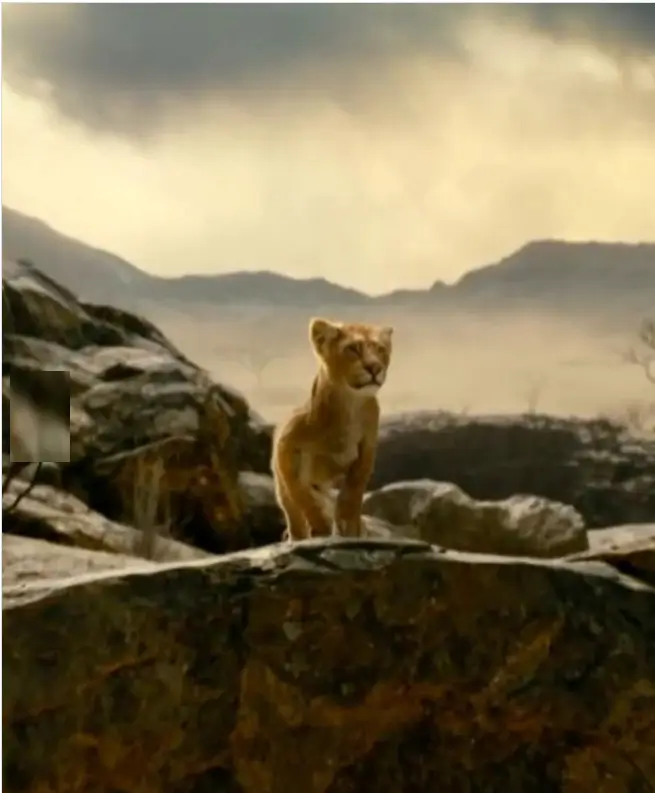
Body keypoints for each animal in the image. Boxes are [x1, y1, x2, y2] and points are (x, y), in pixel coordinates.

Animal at [271, 317, 393, 541]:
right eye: (352, 348)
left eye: (381, 349)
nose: (374, 368)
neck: (349, 406)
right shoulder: (285, 447)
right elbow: (301, 495)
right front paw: (320, 526)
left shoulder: (367, 448)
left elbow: (354, 491)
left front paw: (350, 526)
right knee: (293, 510)